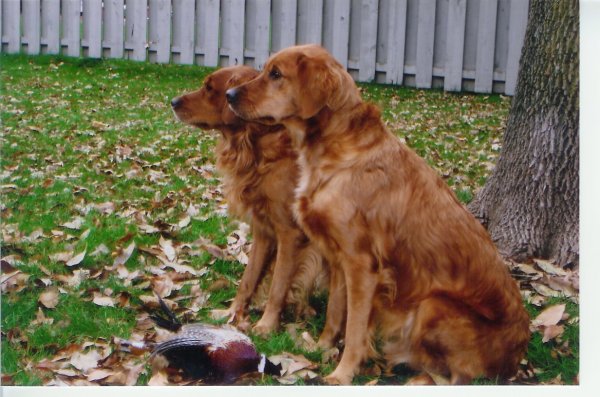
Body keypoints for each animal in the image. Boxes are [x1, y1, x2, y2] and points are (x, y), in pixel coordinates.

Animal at [171, 65, 326, 334]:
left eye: (209, 87)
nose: (173, 102)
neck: (259, 144)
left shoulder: (289, 233)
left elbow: (278, 285)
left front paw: (267, 324)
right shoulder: (263, 230)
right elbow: (248, 279)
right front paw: (232, 313)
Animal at [226, 44, 528, 382]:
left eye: (276, 74)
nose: (229, 94)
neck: (336, 152)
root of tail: (517, 356)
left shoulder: (363, 264)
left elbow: (355, 329)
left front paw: (342, 374)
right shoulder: (338, 258)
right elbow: (335, 312)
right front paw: (322, 347)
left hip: (432, 305)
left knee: (456, 376)